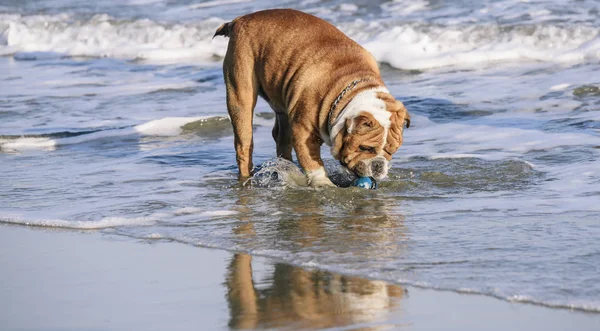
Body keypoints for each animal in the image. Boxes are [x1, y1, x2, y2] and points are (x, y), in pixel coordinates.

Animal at [213, 8, 410, 187]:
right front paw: (323, 183)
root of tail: (240, 20)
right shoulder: (303, 132)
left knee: (282, 138)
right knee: (244, 144)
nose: (379, 165)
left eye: (391, 152)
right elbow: (312, 163)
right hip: (240, 94)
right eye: (365, 148)